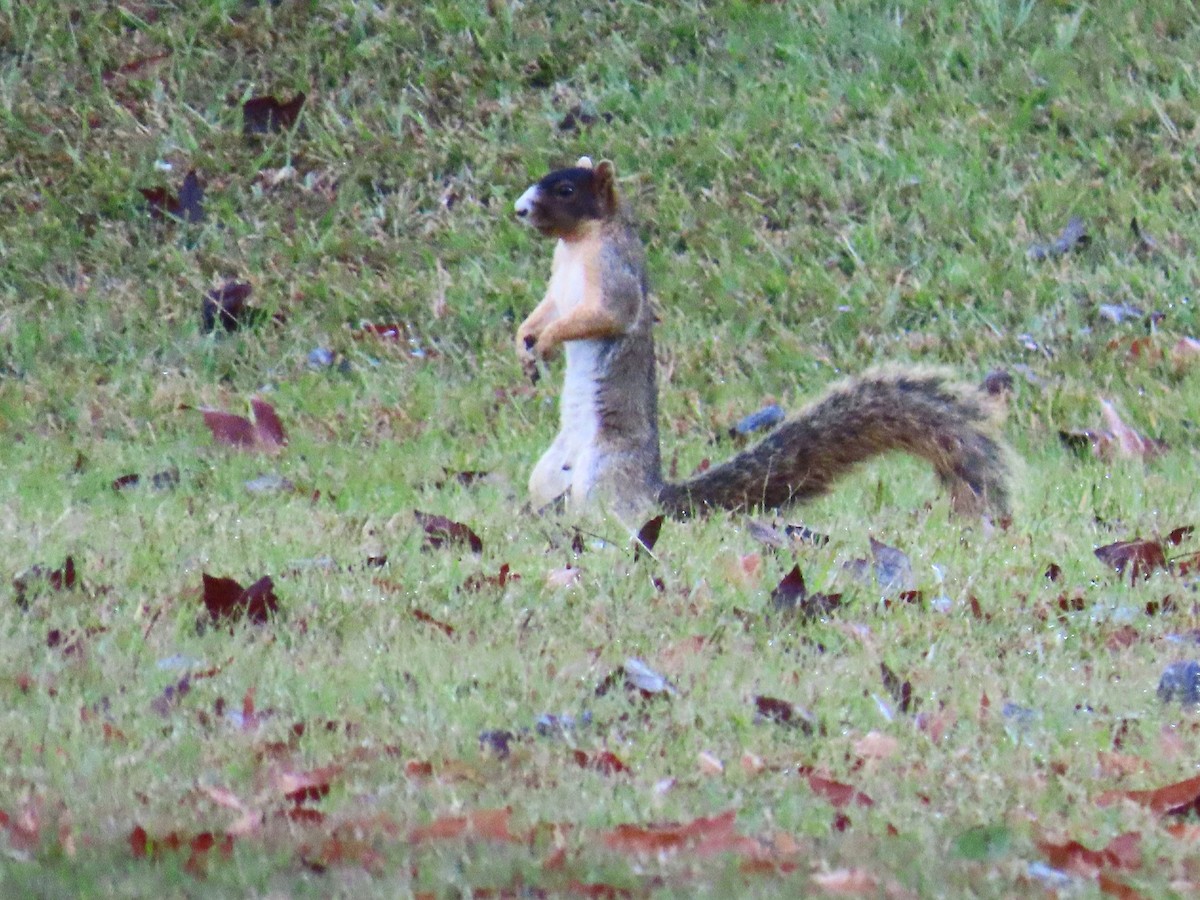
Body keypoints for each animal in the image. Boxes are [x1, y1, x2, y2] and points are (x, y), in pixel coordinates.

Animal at [513, 157, 1010, 521]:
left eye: (566, 190)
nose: (519, 209)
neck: (578, 243)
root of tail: (654, 496)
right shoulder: (559, 281)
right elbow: (548, 308)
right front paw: (526, 338)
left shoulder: (615, 272)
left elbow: (604, 315)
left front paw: (549, 340)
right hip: (547, 472)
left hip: (603, 470)